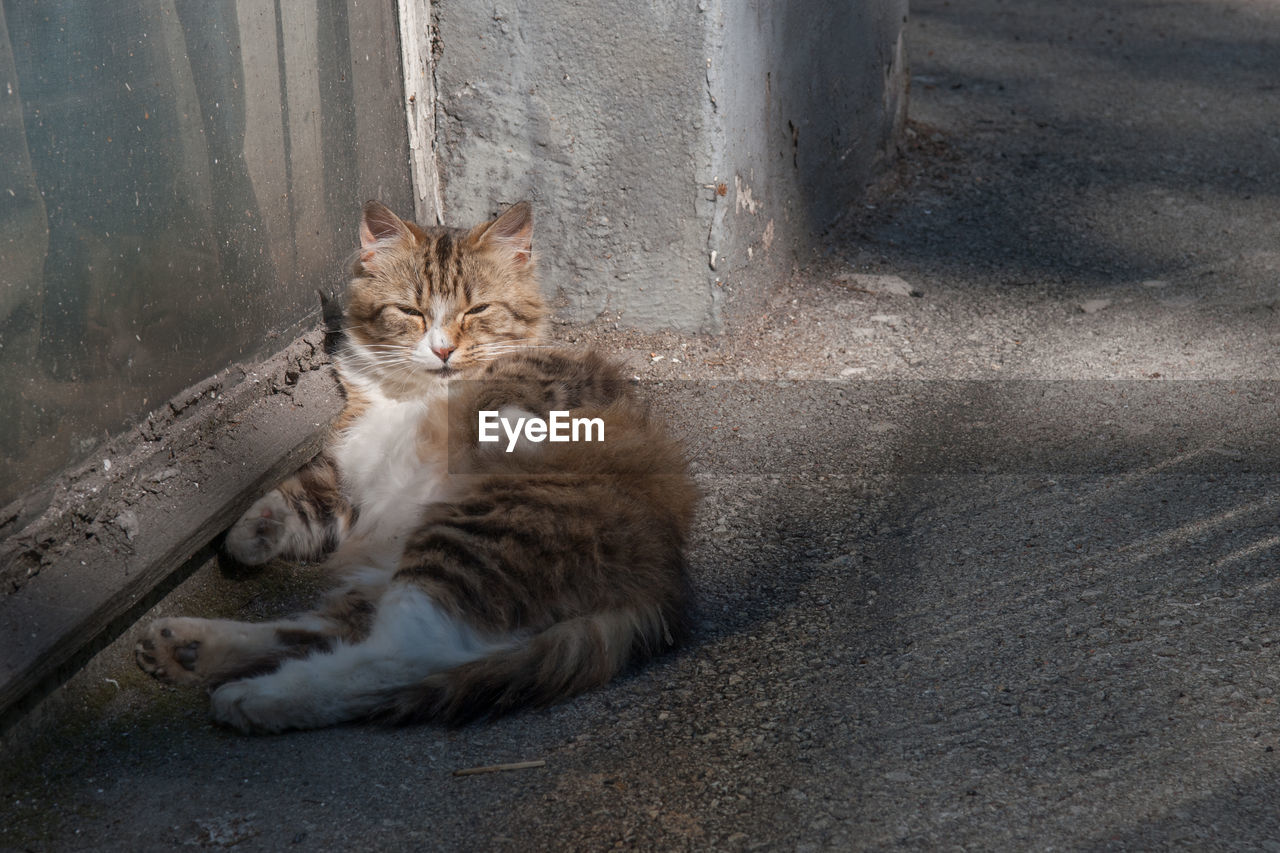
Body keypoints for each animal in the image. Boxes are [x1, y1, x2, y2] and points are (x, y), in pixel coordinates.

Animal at [133, 199, 696, 732]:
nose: (443, 350)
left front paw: (487, 420)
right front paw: (252, 533)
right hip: (398, 573)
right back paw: (186, 648)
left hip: (467, 538)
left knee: (394, 661)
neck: (417, 396)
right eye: (410, 311)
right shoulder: (355, 470)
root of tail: (658, 585)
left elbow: (503, 389)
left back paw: (252, 697)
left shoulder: (566, 379)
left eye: (478, 309)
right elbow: (302, 497)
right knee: (331, 637)